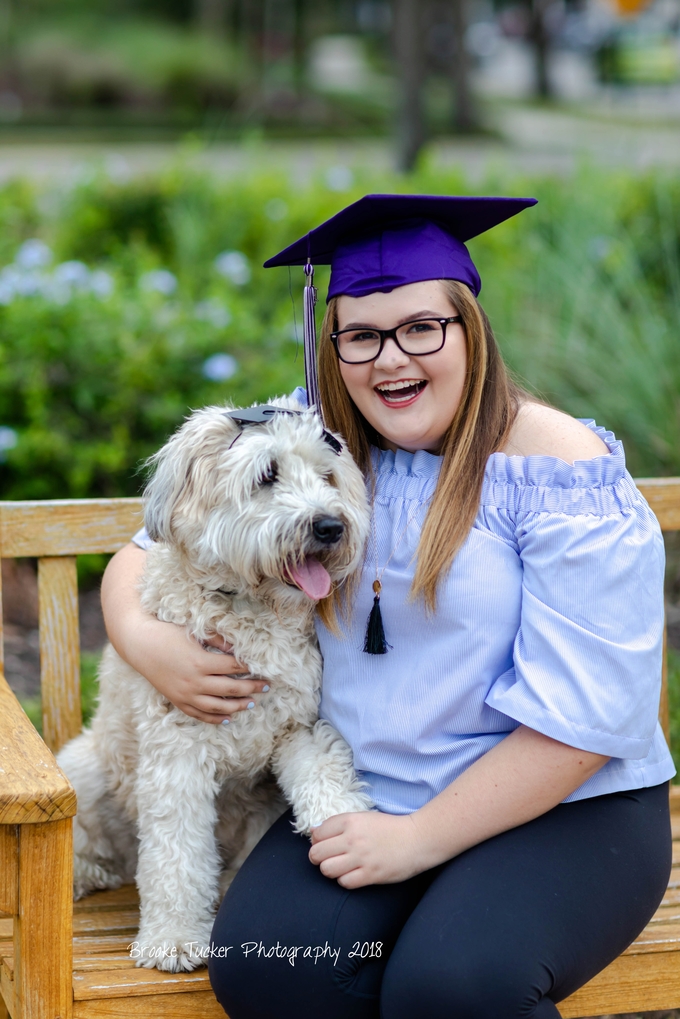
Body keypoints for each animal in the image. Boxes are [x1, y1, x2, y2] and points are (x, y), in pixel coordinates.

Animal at [56, 397, 375, 970]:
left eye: (327, 476)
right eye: (267, 475)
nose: (329, 526)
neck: (251, 608)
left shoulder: (298, 725)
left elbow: (325, 772)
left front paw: (346, 822)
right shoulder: (177, 757)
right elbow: (176, 856)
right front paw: (175, 938)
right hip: (88, 771)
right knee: (97, 846)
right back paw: (87, 874)